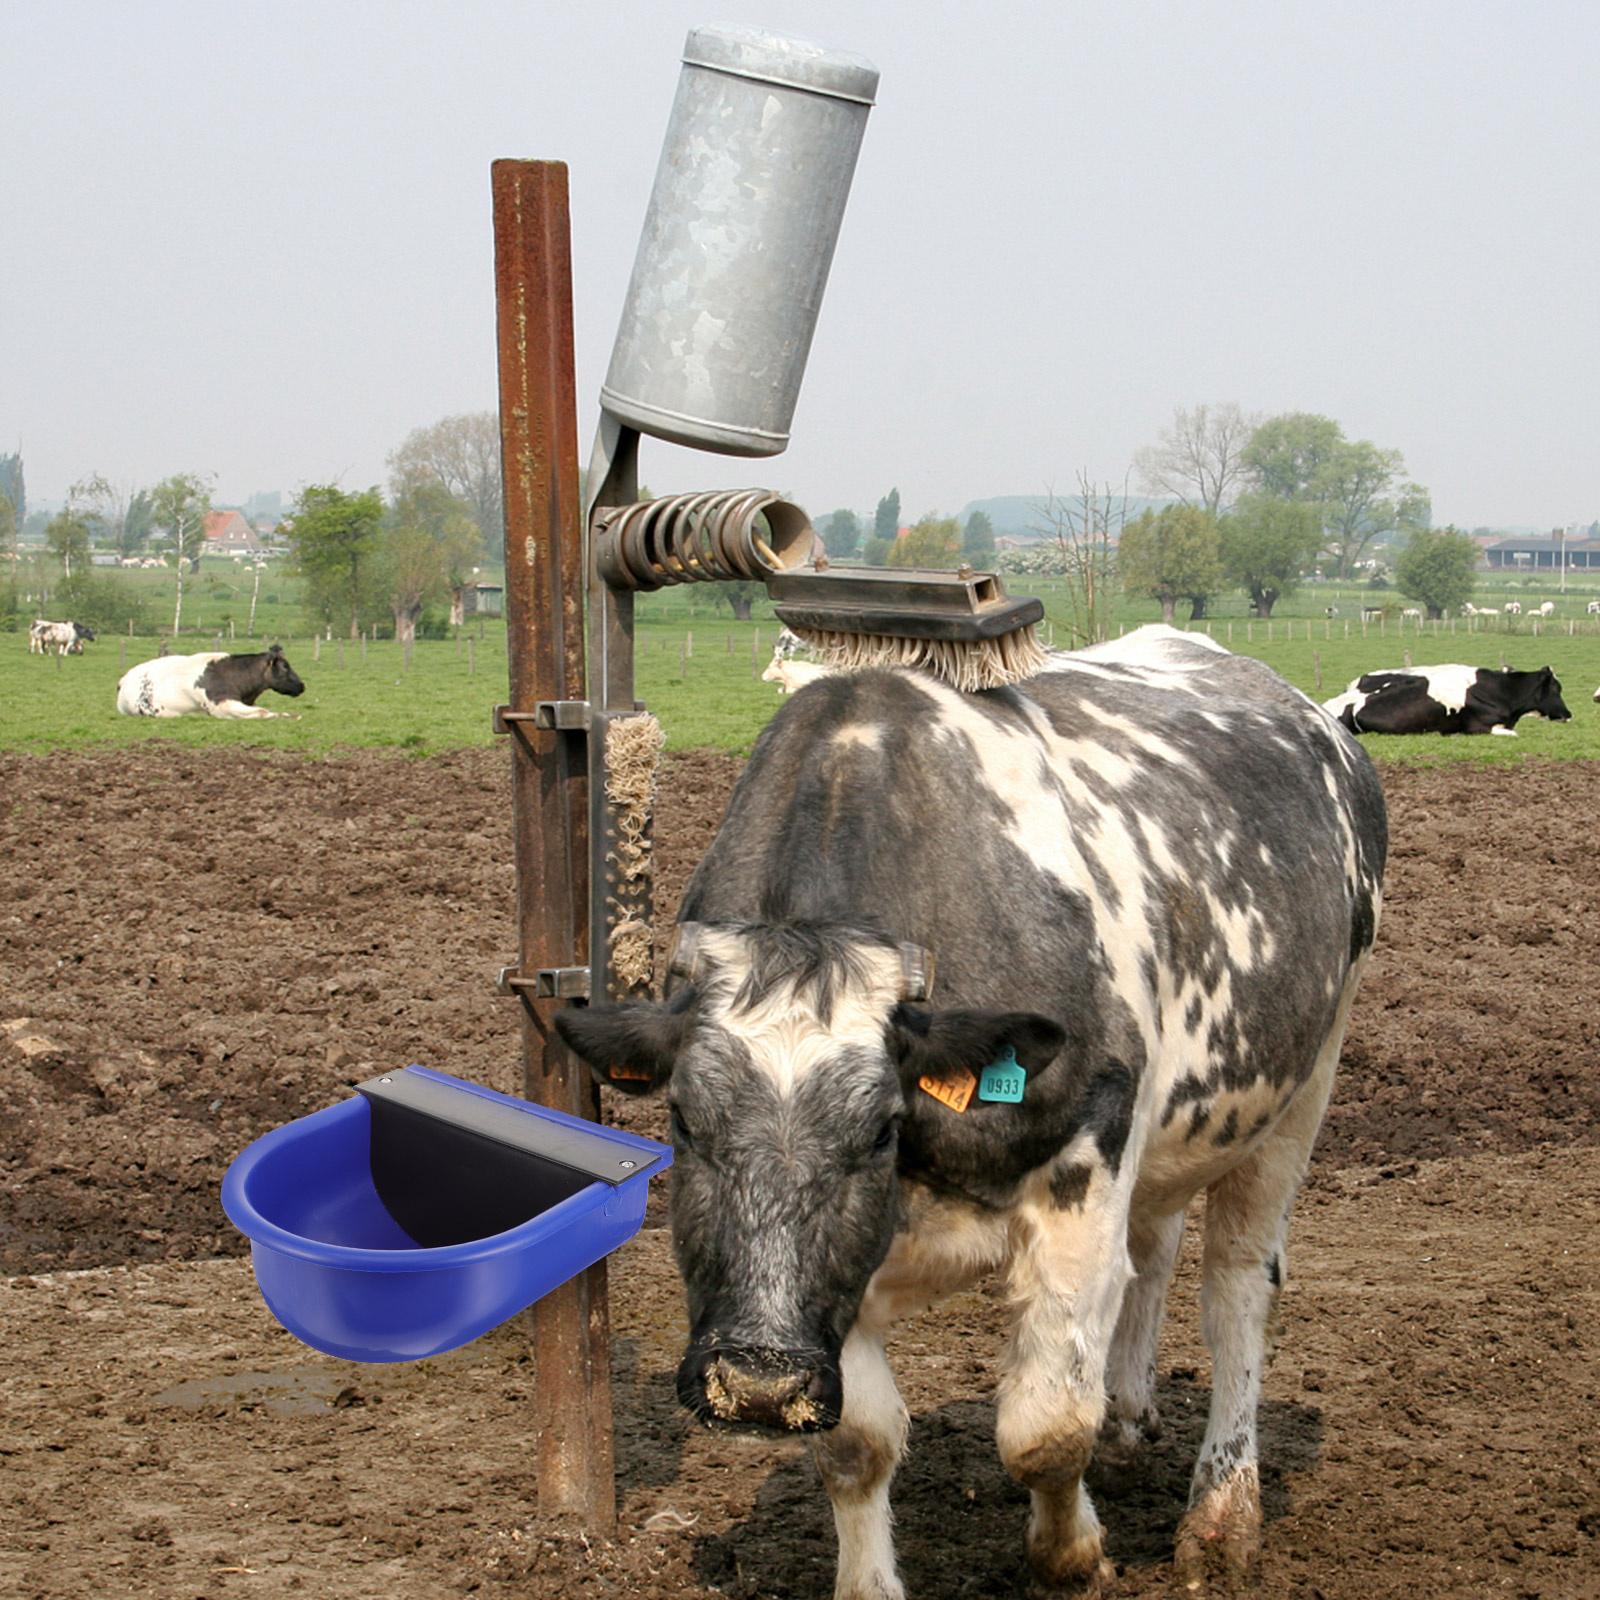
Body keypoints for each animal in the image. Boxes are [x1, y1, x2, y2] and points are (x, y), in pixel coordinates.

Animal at [554, 625, 1387, 1598]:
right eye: (684, 1119)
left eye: (880, 1126)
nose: (756, 1384)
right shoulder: (846, 1276)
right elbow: (857, 1445)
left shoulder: (1083, 1176)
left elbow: (1046, 1427)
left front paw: (1072, 1556)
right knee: (1154, 1251)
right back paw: (1129, 1422)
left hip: (1305, 1085)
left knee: (1237, 1291)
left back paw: (1222, 1512)